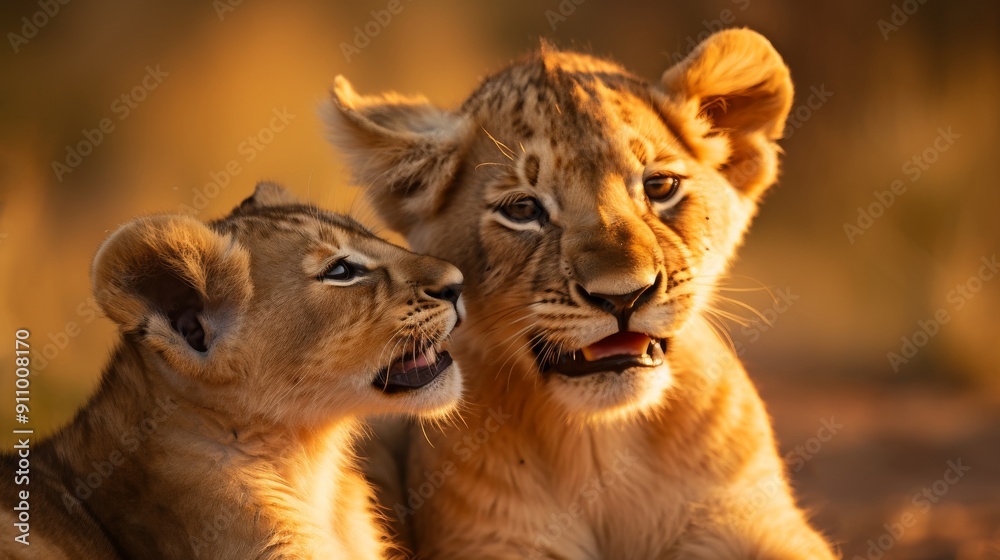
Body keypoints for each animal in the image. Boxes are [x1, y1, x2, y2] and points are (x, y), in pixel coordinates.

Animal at [326, 29, 838, 559]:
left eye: (660, 186)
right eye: (523, 209)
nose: (623, 297)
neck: (604, 442)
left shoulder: (755, 519)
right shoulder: (488, 541)